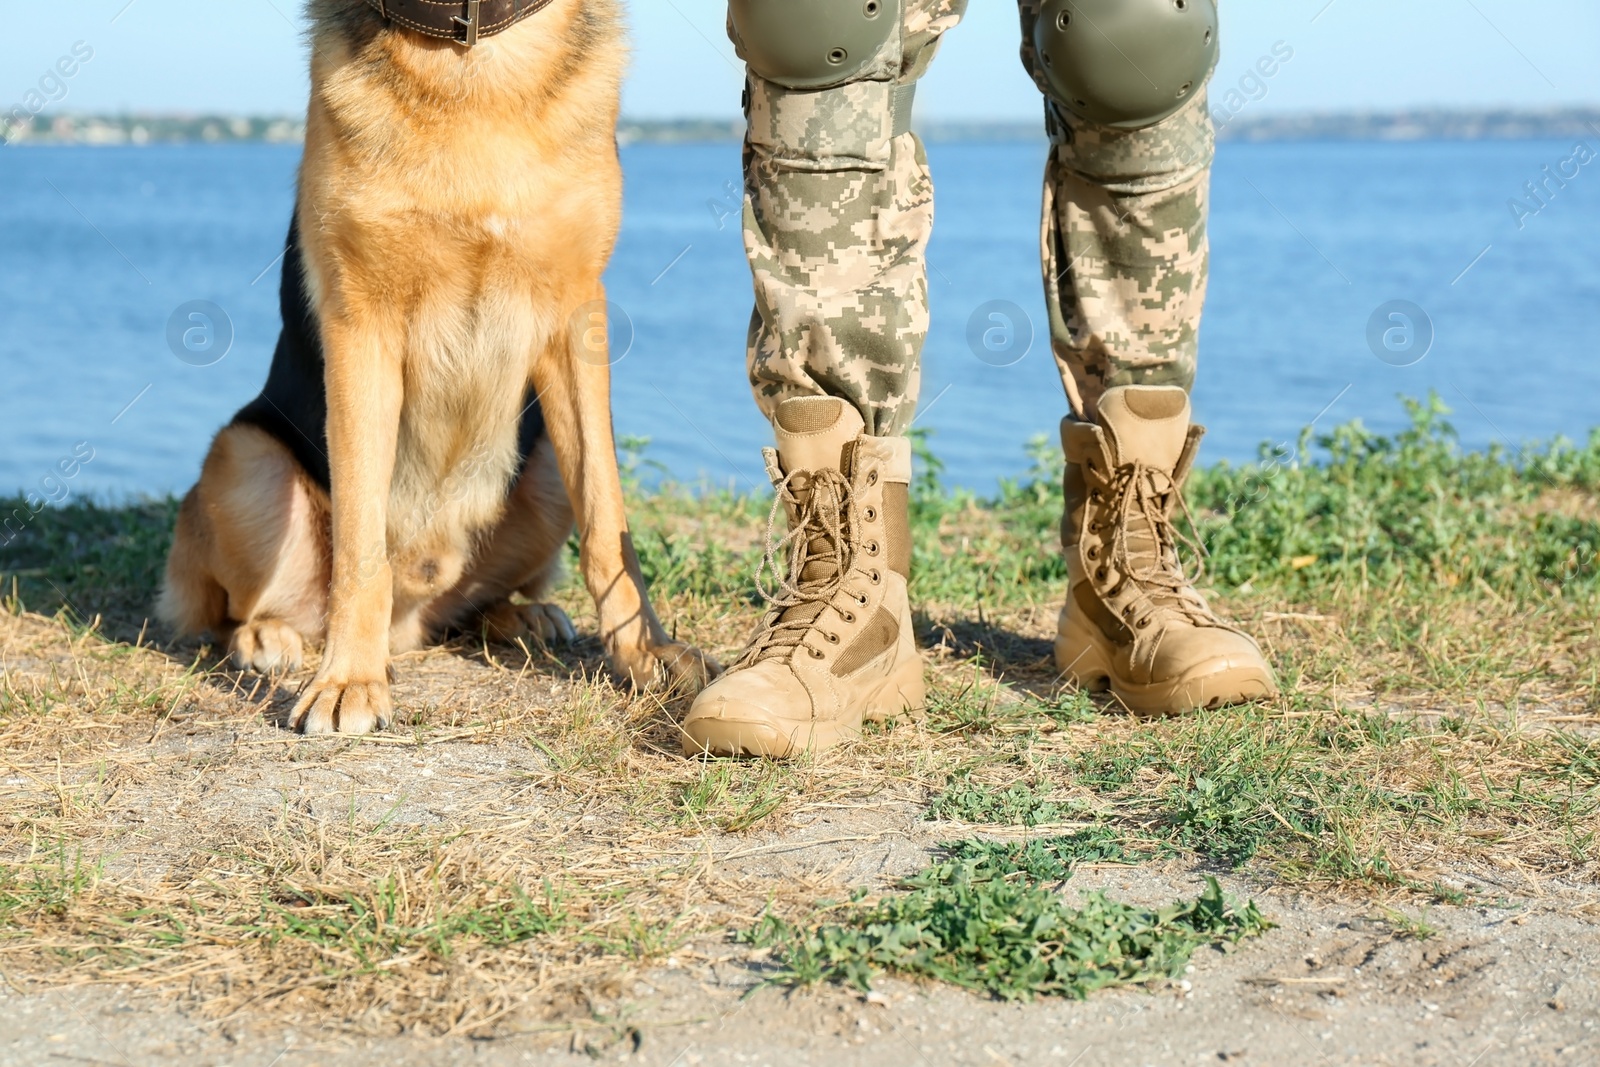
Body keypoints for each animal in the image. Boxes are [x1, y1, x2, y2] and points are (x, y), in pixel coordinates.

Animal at [160, 0, 713, 735]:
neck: (470, 60)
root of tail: (409, 623)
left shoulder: (576, 322)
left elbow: (606, 523)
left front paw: (643, 651)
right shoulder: (361, 329)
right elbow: (361, 540)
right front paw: (348, 680)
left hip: (541, 469)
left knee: (473, 604)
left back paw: (520, 615)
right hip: (246, 459)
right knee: (238, 610)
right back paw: (268, 636)